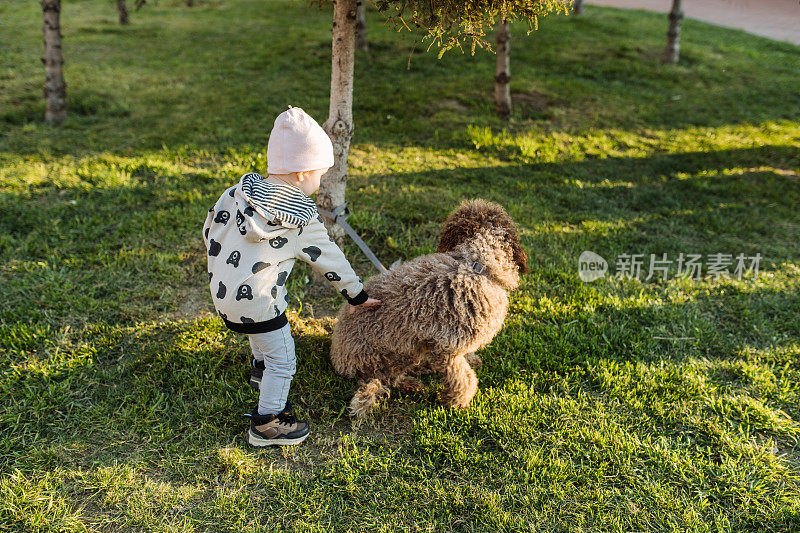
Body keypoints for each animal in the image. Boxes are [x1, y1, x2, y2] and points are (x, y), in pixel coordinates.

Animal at [328, 200, 528, 416]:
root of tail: (338, 360)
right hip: (399, 350)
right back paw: (411, 383)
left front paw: (471, 360)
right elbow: (462, 378)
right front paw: (458, 402)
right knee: (388, 378)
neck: (475, 264)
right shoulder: (444, 346)